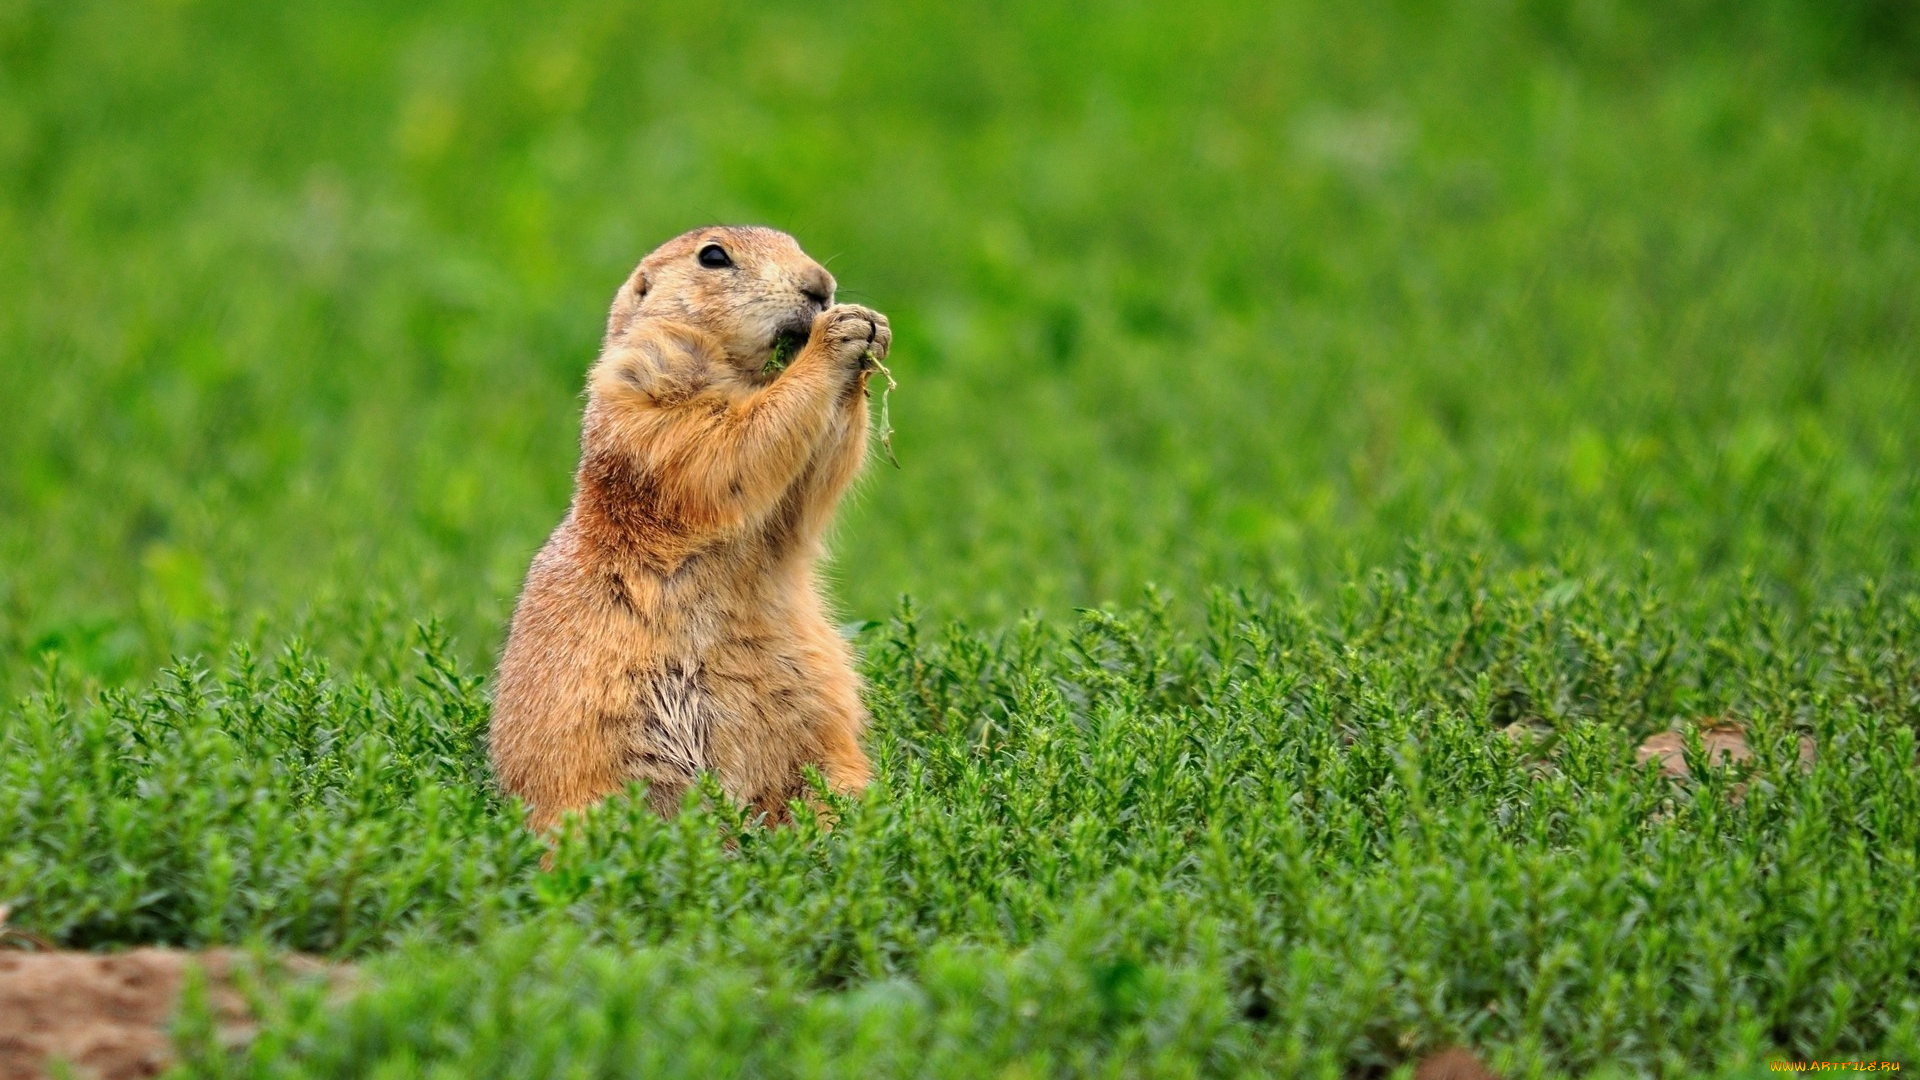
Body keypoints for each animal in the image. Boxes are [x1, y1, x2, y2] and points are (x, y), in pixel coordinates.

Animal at [491, 224, 887, 822]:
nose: (822, 285)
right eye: (714, 256)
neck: (740, 371)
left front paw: (872, 331)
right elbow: (721, 446)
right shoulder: (646, 386)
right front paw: (833, 340)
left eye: (793, 241)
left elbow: (807, 492)